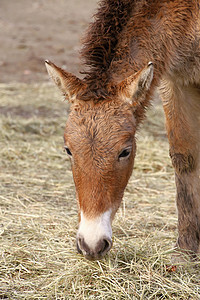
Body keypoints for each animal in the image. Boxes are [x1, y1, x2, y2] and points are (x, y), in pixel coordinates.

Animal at [45, 0, 200, 262]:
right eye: (68, 150)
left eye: (125, 151)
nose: (92, 245)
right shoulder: (176, 81)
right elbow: (184, 157)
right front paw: (186, 251)